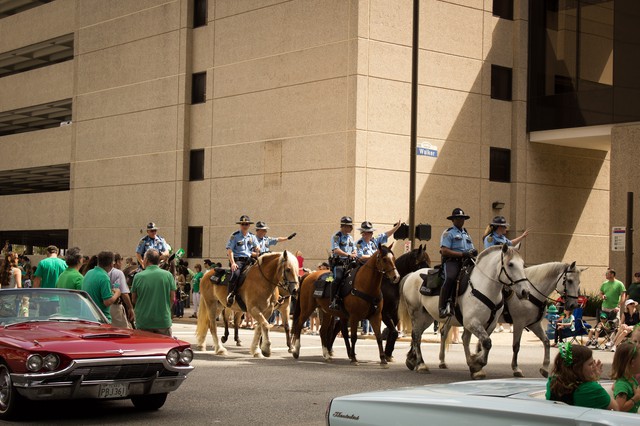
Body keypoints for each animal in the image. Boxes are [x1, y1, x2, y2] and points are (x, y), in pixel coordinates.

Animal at [400, 243, 528, 380]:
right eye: (510, 264)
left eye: (522, 264)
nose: (525, 292)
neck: (484, 287)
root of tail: (412, 274)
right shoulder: (471, 322)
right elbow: (486, 342)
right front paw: (477, 364)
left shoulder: (490, 324)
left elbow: (479, 344)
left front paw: (475, 365)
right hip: (416, 314)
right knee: (416, 335)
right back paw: (421, 364)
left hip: (427, 317)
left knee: (418, 334)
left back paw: (411, 360)